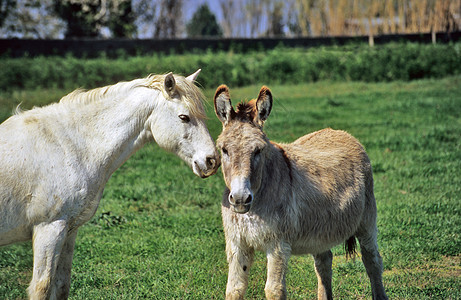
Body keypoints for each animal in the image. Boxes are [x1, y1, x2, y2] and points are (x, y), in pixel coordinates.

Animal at [0, 69, 219, 298]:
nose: (212, 161)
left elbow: (61, 285)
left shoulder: (68, 231)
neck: (67, 145)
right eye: (184, 117)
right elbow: (41, 287)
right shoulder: (49, 229)